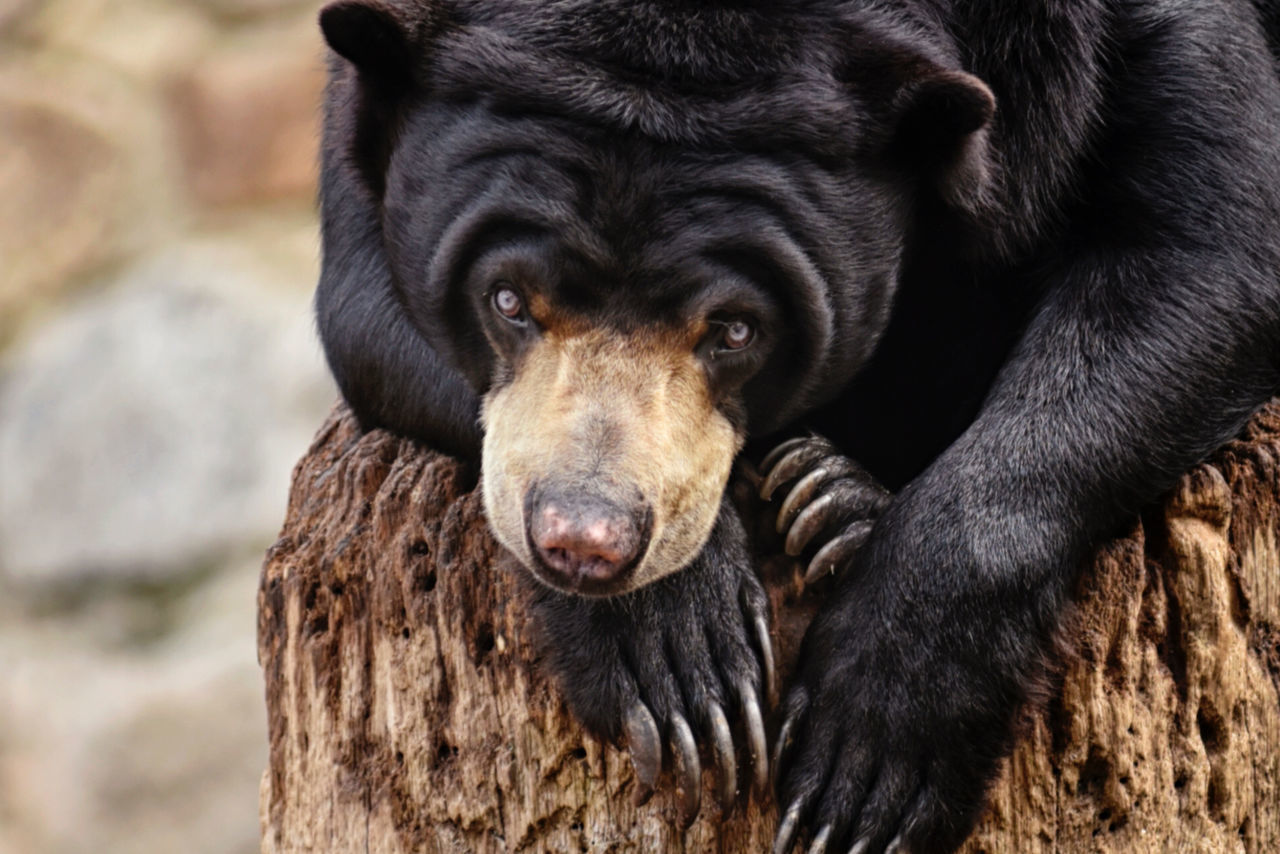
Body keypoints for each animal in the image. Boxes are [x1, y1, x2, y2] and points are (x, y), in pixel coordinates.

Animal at [309, 3, 1280, 850]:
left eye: (735, 329)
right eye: (508, 300)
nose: (585, 545)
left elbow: (1205, 261)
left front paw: (871, 766)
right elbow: (365, 313)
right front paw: (681, 665)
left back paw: (833, 504)